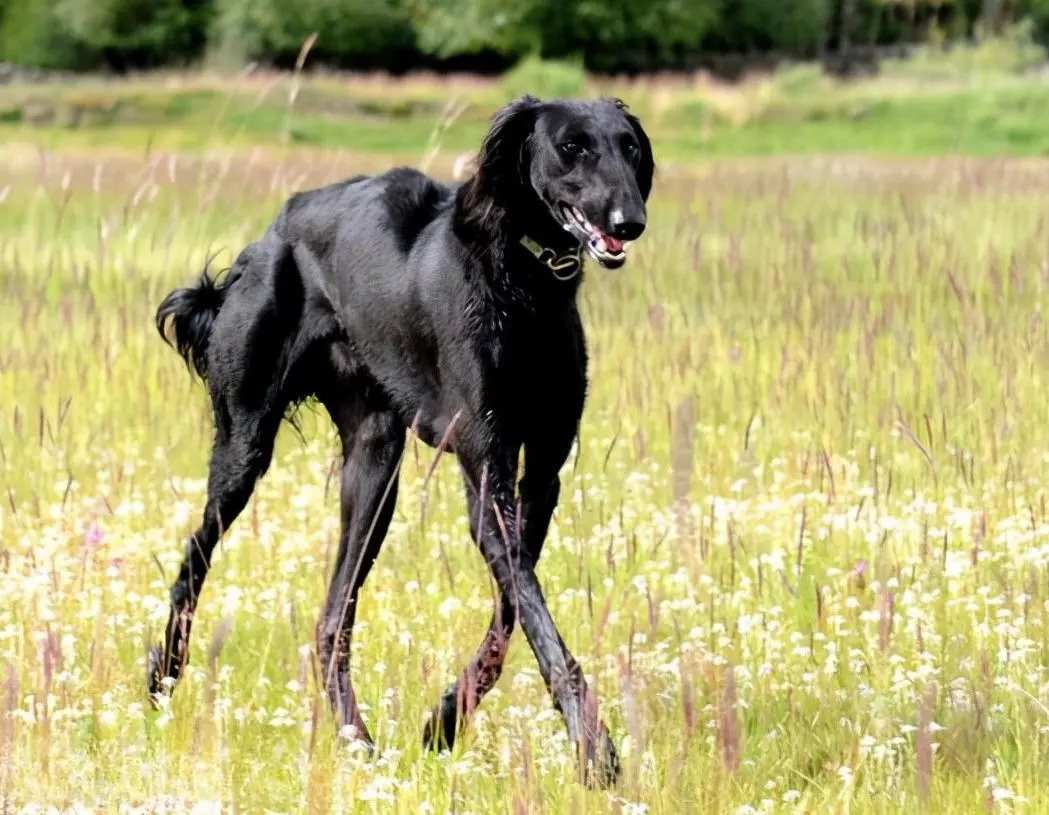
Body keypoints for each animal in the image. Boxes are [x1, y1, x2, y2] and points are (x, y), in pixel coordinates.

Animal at [152, 92, 650, 784]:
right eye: (572, 147)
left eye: (629, 146)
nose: (630, 222)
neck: (521, 280)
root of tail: (273, 232)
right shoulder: (488, 473)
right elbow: (534, 616)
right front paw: (595, 748)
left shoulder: (541, 475)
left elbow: (511, 613)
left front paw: (444, 721)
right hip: (244, 446)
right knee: (195, 558)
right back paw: (162, 677)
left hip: (374, 466)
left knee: (331, 620)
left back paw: (358, 743)